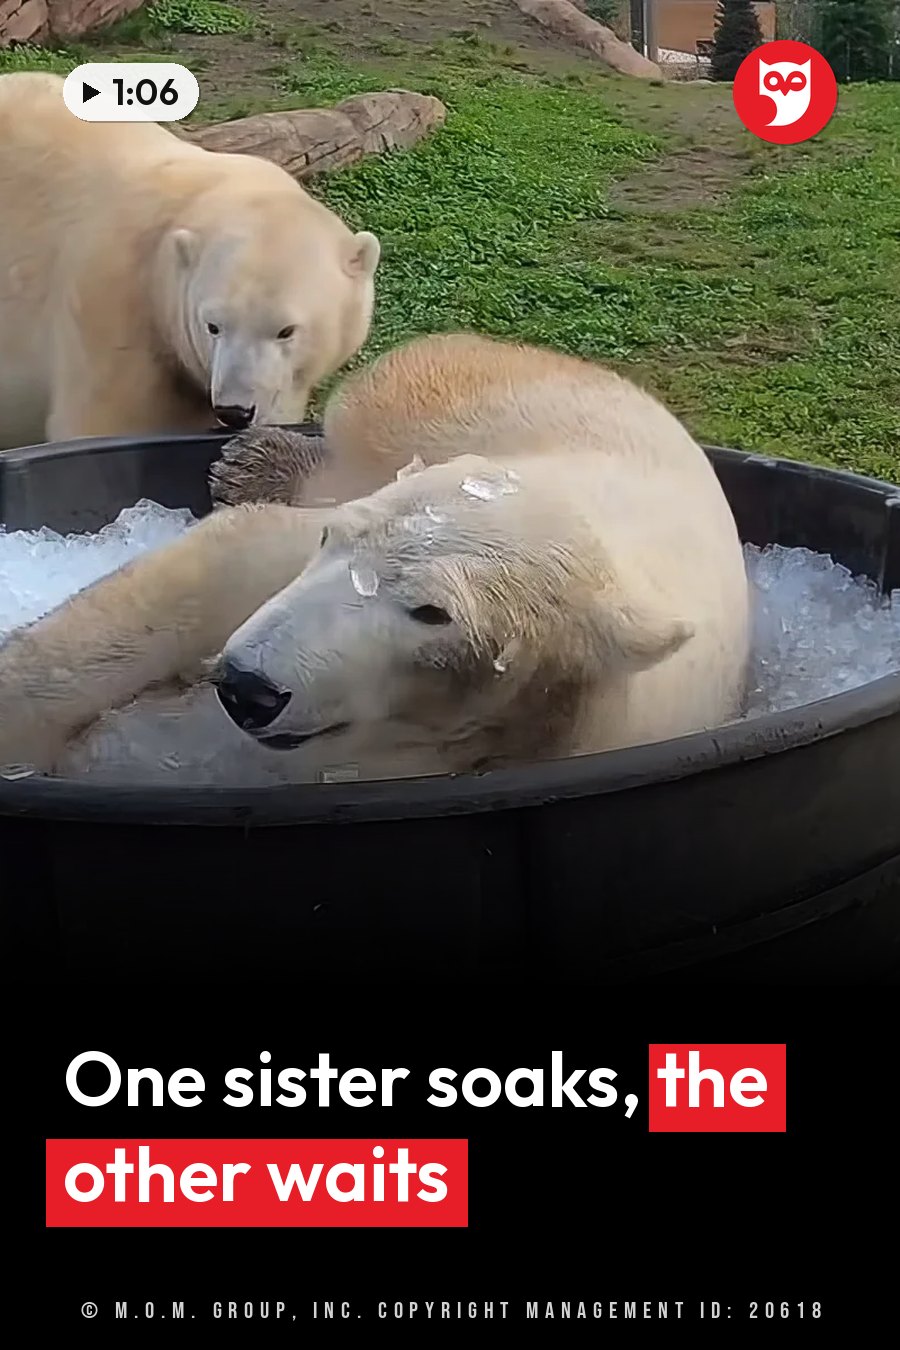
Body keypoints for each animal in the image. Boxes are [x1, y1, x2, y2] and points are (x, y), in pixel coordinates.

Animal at [0, 333, 750, 784]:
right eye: (333, 544)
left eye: (432, 612)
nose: (247, 687)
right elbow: (227, 564)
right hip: (467, 391)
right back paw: (256, 461)